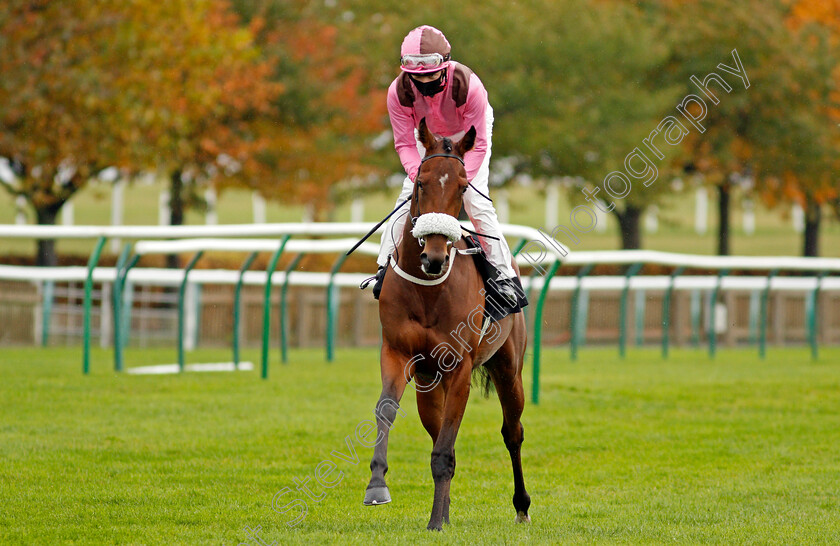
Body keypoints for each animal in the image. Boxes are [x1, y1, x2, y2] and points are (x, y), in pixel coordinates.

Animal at [360, 118, 532, 528]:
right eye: (421, 182)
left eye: (463, 186)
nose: (435, 257)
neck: (429, 292)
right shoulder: (397, 353)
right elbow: (387, 410)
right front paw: (377, 485)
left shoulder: (460, 367)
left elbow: (446, 449)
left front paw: (437, 522)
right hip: (427, 381)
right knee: (437, 429)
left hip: (508, 368)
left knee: (512, 432)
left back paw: (521, 506)